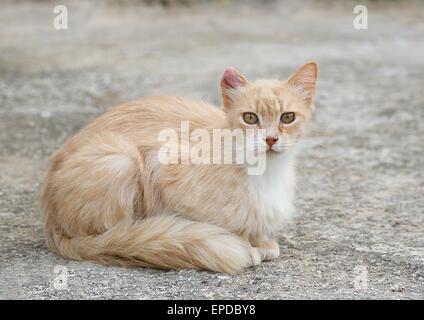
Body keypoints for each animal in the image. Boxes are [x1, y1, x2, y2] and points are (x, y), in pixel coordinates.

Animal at [40, 62, 318, 272]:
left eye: (287, 117)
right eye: (250, 118)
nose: (271, 139)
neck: (266, 173)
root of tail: (50, 219)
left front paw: (259, 241)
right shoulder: (162, 165)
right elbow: (230, 226)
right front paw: (249, 245)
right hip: (121, 158)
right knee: (115, 235)